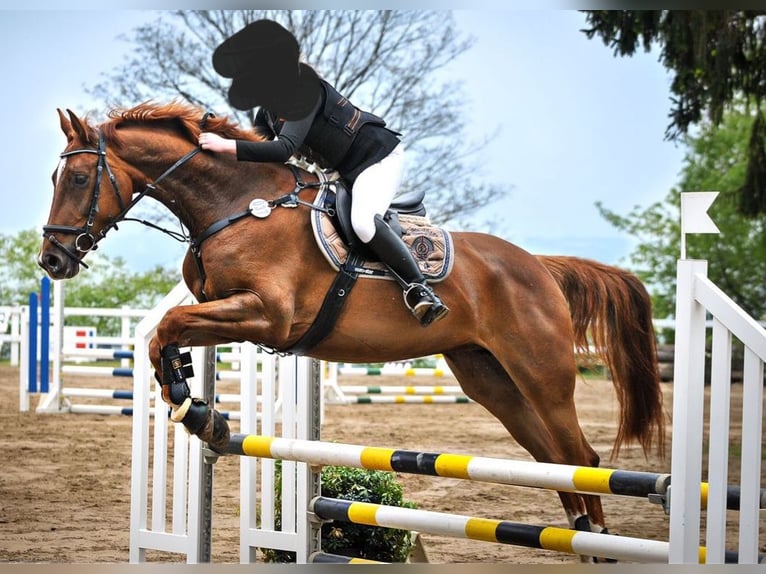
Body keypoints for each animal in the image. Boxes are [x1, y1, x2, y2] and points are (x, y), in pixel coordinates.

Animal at [39, 103, 664, 564]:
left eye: (78, 176)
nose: (52, 259)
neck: (235, 206)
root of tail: (540, 266)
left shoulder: (267, 315)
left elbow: (166, 327)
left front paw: (196, 413)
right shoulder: (223, 306)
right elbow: (164, 337)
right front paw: (201, 412)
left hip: (542, 372)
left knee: (580, 453)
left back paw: (599, 544)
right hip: (491, 379)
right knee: (553, 458)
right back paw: (579, 535)